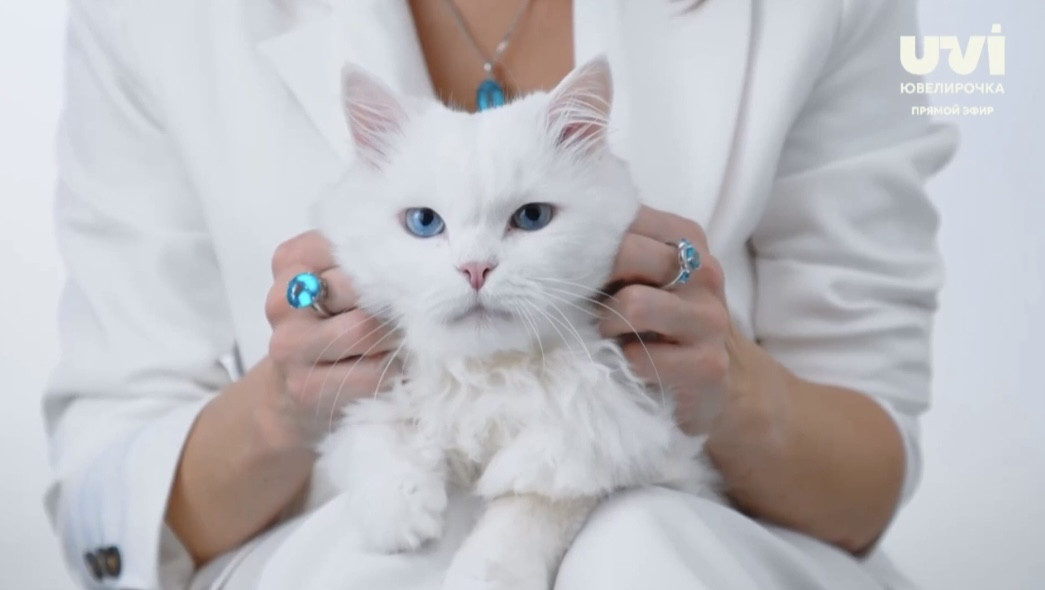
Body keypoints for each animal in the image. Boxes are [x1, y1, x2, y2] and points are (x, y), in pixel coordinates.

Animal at [308, 56, 721, 590]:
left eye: (531, 217)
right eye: (424, 222)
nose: (475, 269)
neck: (489, 376)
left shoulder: (602, 443)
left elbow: (524, 516)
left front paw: (482, 576)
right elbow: (378, 436)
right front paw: (399, 518)